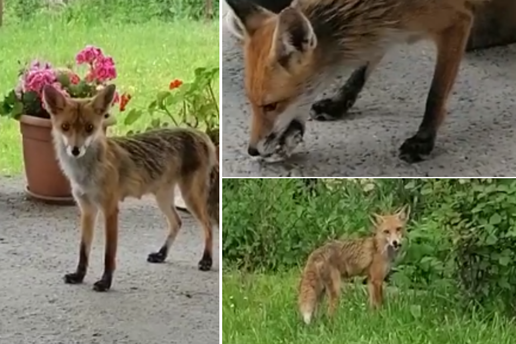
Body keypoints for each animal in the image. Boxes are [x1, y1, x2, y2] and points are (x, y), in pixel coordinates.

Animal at [40, 82, 218, 292]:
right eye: (65, 127)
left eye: (89, 128)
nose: (76, 150)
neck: (85, 173)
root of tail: (202, 134)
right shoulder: (87, 209)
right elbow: (83, 249)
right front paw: (79, 276)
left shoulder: (110, 209)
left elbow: (109, 253)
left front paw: (105, 282)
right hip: (163, 198)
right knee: (177, 222)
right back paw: (162, 254)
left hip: (190, 197)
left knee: (208, 225)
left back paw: (207, 260)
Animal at [226, 0, 492, 163]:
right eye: (251, 103)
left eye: (271, 106)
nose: (252, 150)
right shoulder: (382, 32)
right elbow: (361, 70)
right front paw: (339, 102)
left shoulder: (457, 21)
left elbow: (435, 96)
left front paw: (423, 140)